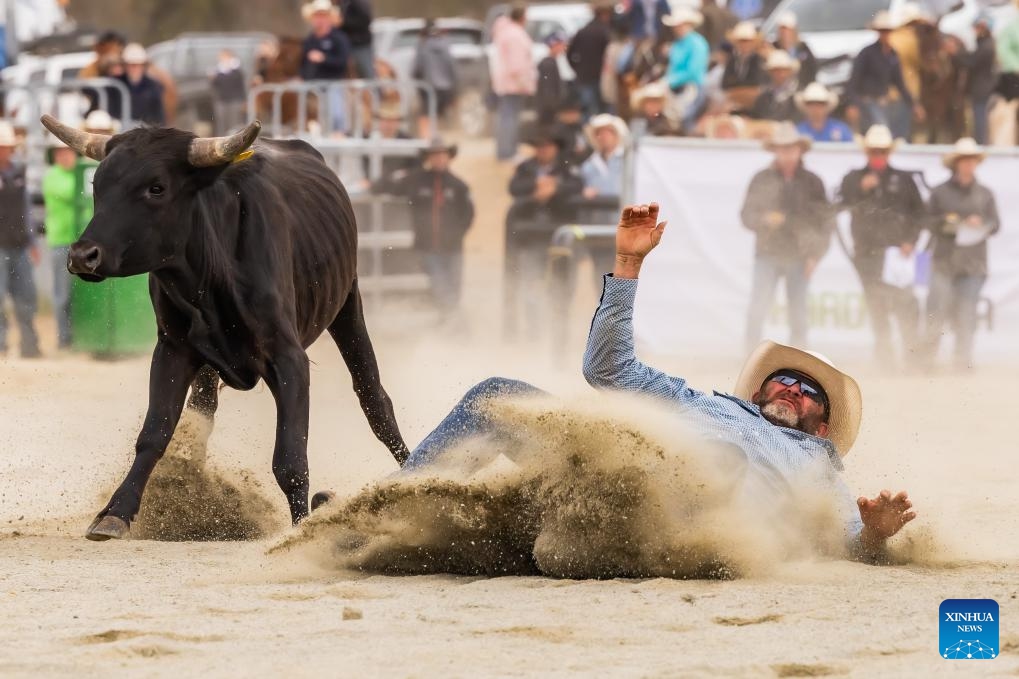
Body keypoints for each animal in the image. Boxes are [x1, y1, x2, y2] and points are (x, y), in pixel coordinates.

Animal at [42, 116, 409, 538]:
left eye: (156, 187)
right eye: (97, 186)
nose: (82, 255)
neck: (211, 271)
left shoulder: (289, 358)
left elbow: (290, 457)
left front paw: (302, 523)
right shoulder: (173, 350)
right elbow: (155, 434)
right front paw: (117, 511)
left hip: (348, 300)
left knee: (374, 400)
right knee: (203, 413)